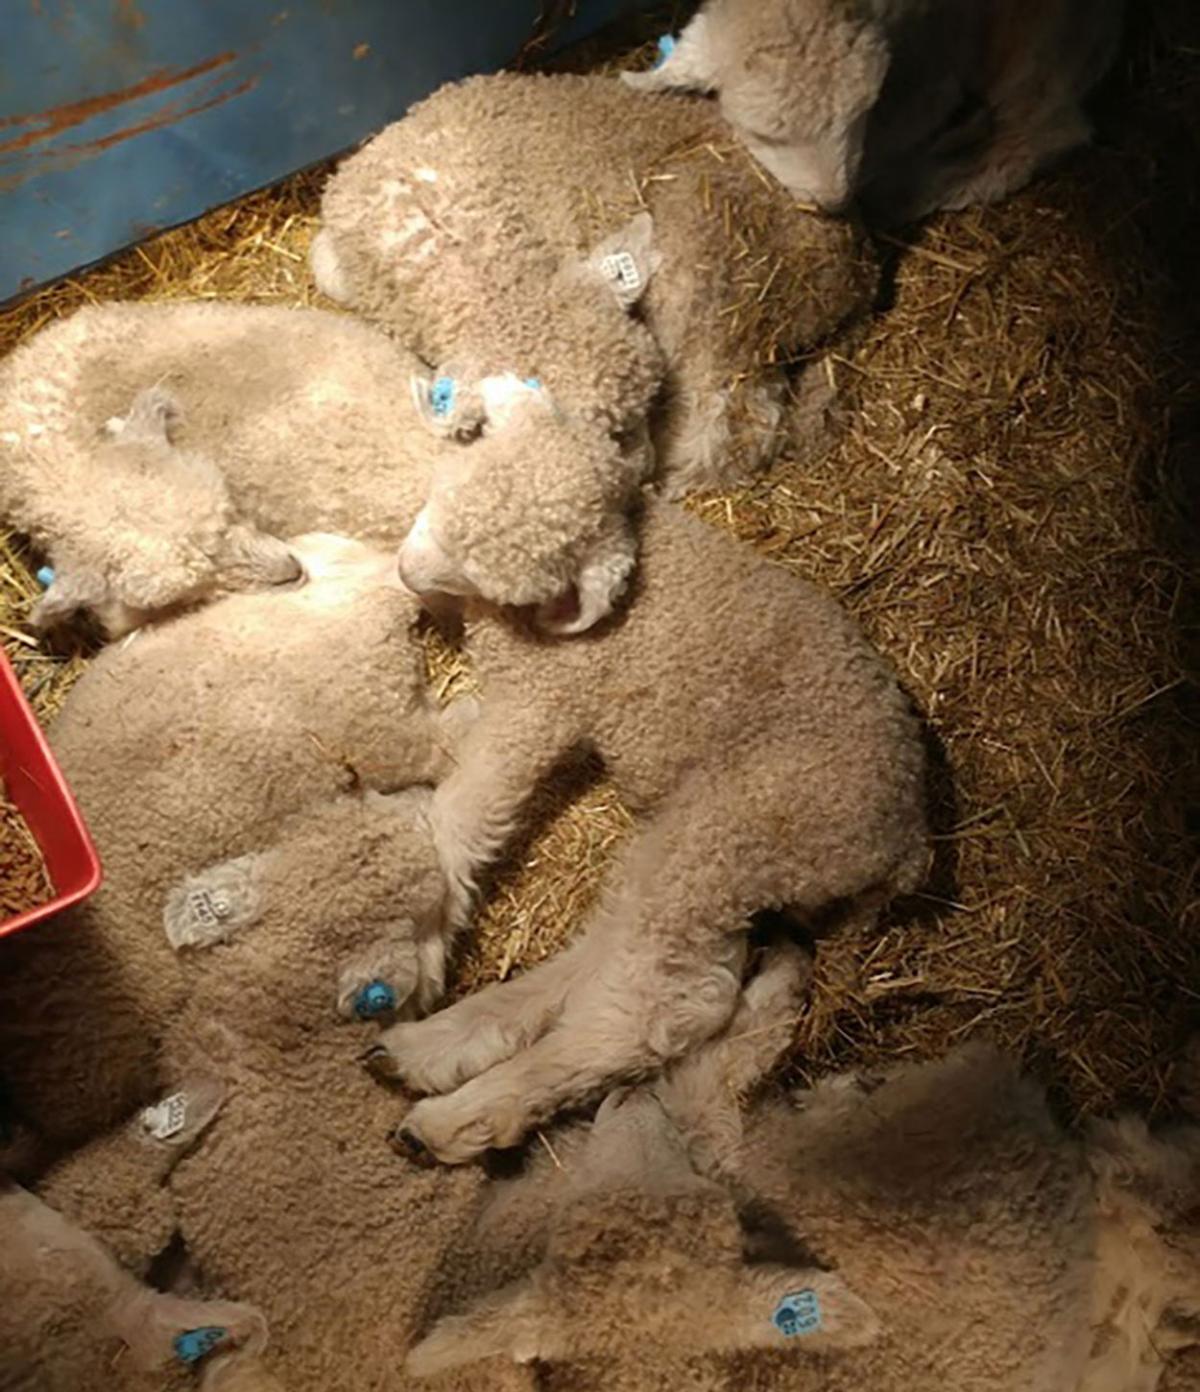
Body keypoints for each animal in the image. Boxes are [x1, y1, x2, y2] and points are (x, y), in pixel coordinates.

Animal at [311, 67, 878, 555]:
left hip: (712, 269)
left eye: (640, 406)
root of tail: (861, 263)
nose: (641, 467)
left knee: (740, 423)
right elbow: (323, 266)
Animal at [367, 378, 929, 1164]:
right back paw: (433, 1049)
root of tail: (907, 843)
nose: (406, 569)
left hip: (735, 835)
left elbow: (464, 815)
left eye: (496, 571)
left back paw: (459, 1115)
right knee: (607, 959)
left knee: (660, 1012)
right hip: (691, 844)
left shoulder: (542, 703)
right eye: (449, 491)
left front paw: (418, 935)